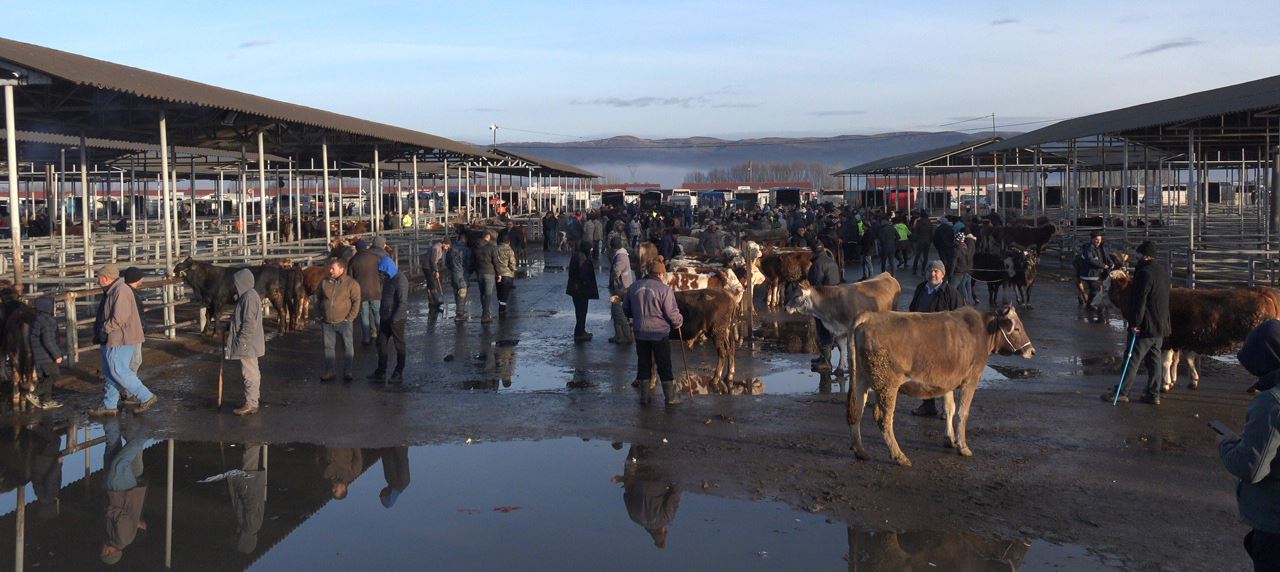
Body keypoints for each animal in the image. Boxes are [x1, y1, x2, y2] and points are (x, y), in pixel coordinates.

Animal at [849, 307, 1039, 468]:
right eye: (1017, 329)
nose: (1032, 351)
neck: (983, 331)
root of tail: (870, 316)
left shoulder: (946, 381)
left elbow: (950, 409)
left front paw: (950, 439)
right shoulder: (971, 380)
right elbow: (962, 413)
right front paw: (962, 446)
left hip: (861, 379)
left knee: (856, 411)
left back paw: (860, 451)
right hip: (887, 385)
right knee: (884, 418)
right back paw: (899, 456)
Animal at [1100, 271, 1280, 391]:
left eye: (1105, 288)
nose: (1095, 301)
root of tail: (1264, 290)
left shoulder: (1168, 340)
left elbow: (1167, 362)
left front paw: (1165, 384)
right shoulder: (1180, 341)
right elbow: (1182, 360)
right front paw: (1183, 380)